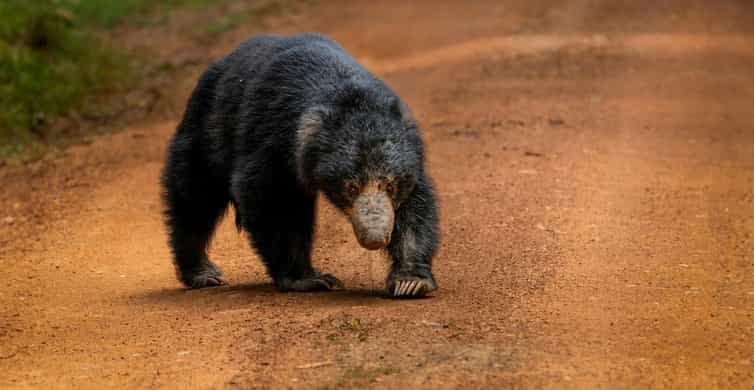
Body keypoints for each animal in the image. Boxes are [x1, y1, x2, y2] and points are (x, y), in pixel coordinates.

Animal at [162, 33, 438, 298]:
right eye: (350, 187)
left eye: (390, 185)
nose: (374, 238)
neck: (347, 96)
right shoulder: (273, 142)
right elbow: (274, 202)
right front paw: (309, 279)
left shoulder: (410, 158)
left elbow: (414, 208)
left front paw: (410, 282)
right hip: (205, 134)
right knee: (194, 199)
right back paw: (203, 274)